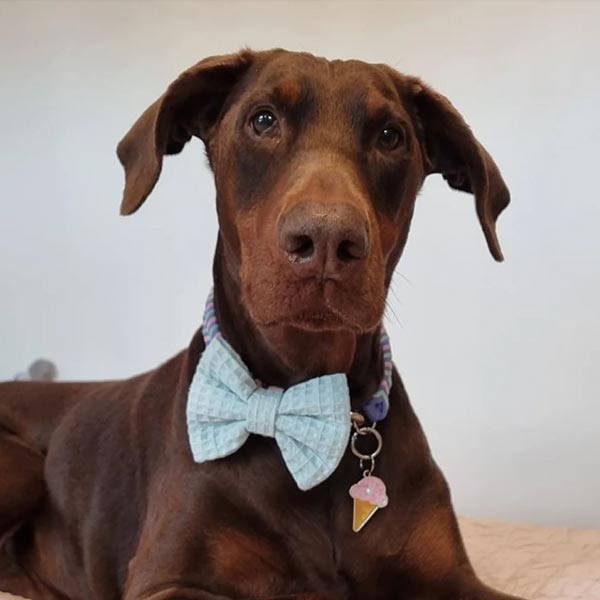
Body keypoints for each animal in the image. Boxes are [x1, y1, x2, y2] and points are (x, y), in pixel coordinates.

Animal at [1, 51, 524, 600]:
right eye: (264, 120)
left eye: (390, 135)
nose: (327, 238)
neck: (301, 396)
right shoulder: (167, 577)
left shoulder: (451, 576)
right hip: (21, 464)